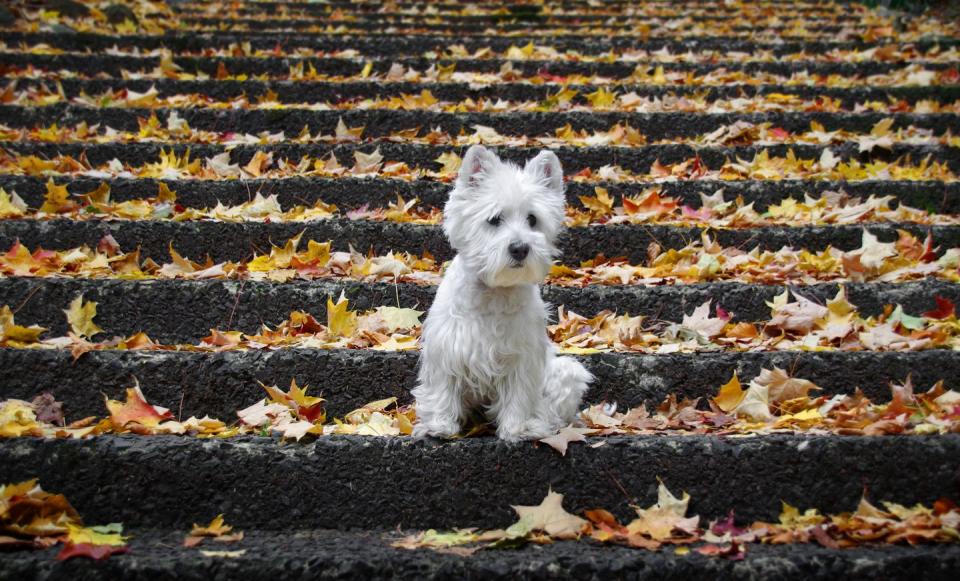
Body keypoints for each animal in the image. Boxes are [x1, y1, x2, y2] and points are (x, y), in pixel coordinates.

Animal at [412, 144, 592, 440]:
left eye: (532, 219)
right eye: (494, 219)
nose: (520, 248)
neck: (494, 291)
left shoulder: (522, 357)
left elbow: (518, 395)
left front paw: (515, 429)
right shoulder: (446, 348)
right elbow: (443, 388)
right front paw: (439, 426)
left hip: (567, 371)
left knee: (551, 409)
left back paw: (538, 425)